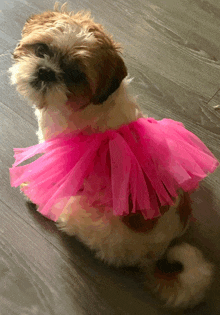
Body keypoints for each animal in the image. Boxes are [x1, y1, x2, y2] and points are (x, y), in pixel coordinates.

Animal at [9, 1, 218, 308]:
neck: (83, 105)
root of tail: (157, 252)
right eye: (42, 50)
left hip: (86, 216)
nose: (46, 71)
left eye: (75, 76)